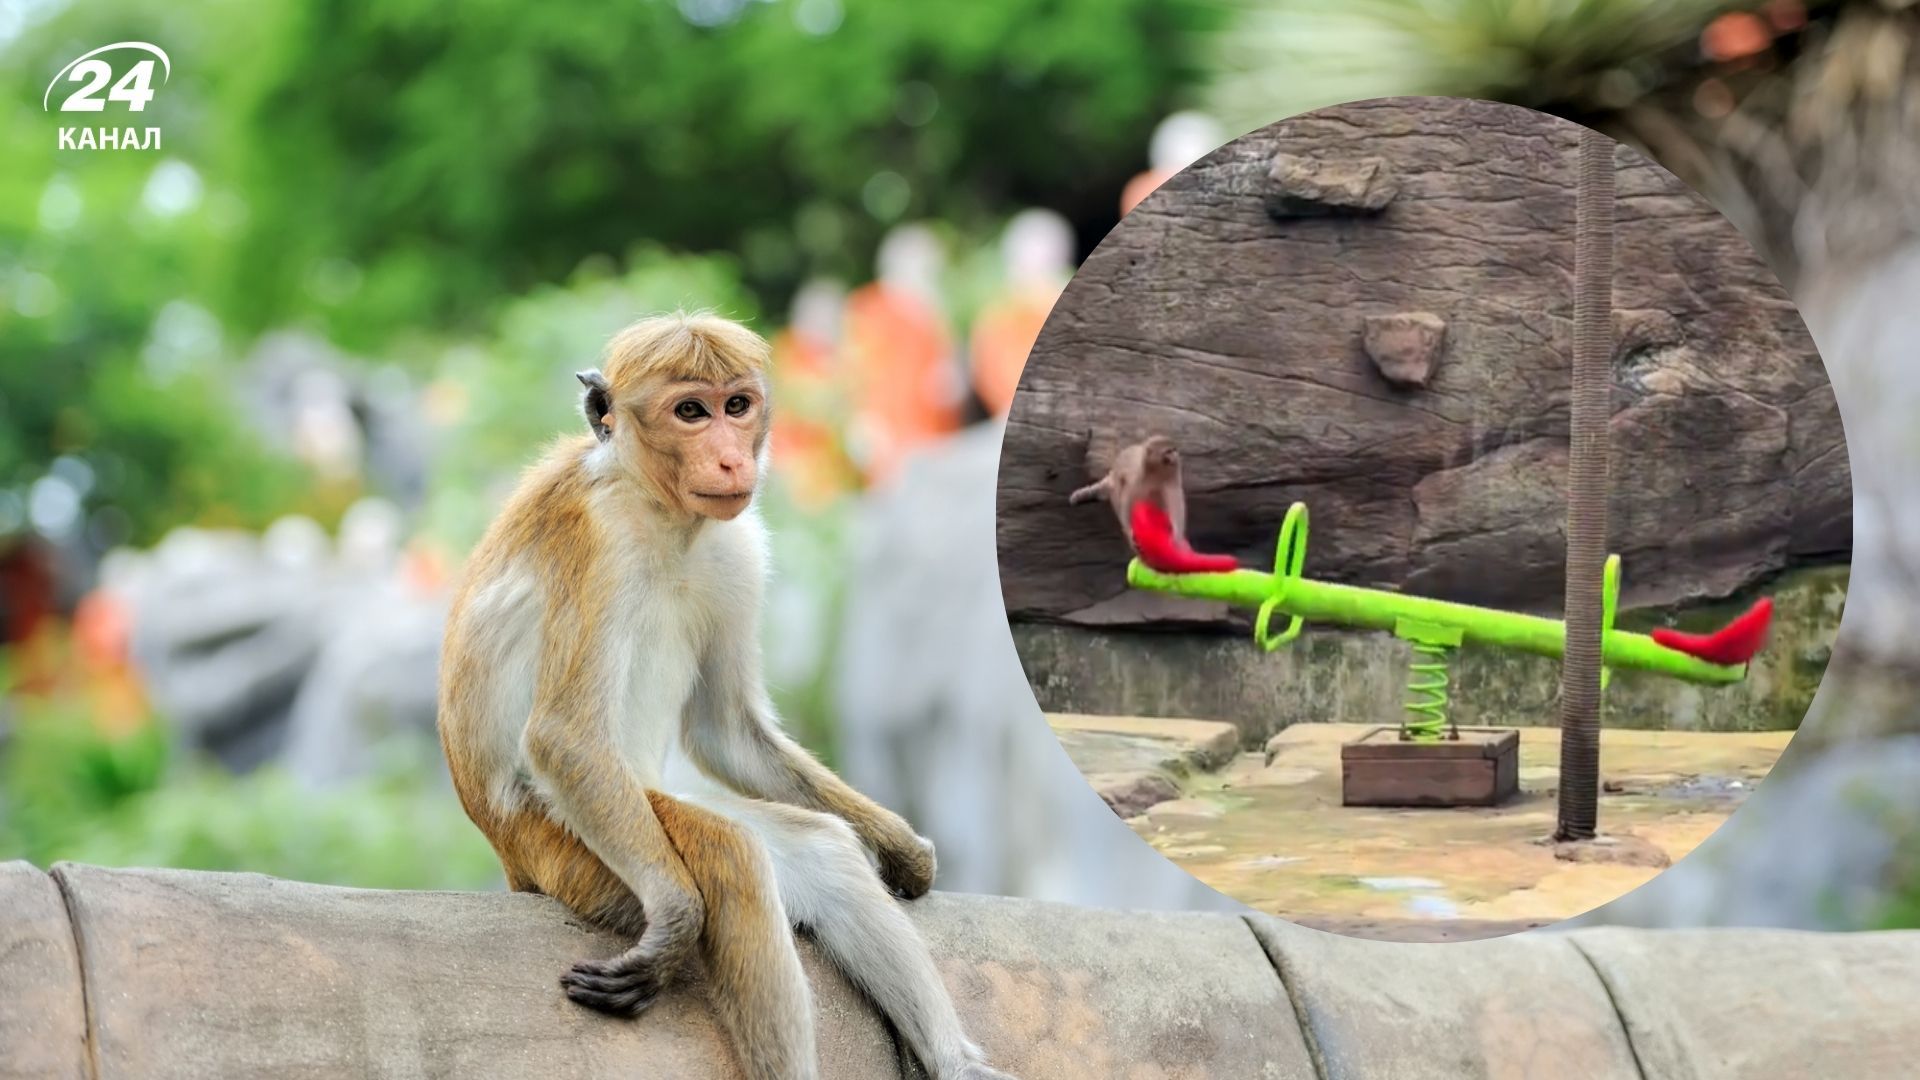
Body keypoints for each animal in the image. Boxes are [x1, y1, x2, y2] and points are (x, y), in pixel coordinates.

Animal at [438, 313, 1014, 1080]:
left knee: (818, 851)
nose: (731, 460)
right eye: (690, 412)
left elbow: (726, 729)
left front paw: (904, 851)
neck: (655, 507)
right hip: (568, 843)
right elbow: (565, 737)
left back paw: (953, 1060)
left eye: (735, 406)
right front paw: (676, 919)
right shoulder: (597, 540)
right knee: (730, 857)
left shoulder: (736, 546)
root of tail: (509, 859)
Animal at [1069, 434, 1236, 574]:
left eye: (1174, 449)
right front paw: (1131, 532)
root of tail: (1111, 474)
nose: (1176, 455)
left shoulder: (1172, 474)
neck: (1156, 470)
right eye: (1168, 451)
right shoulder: (1138, 477)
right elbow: (1127, 501)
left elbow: (1175, 503)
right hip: (1116, 483)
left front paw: (1176, 536)